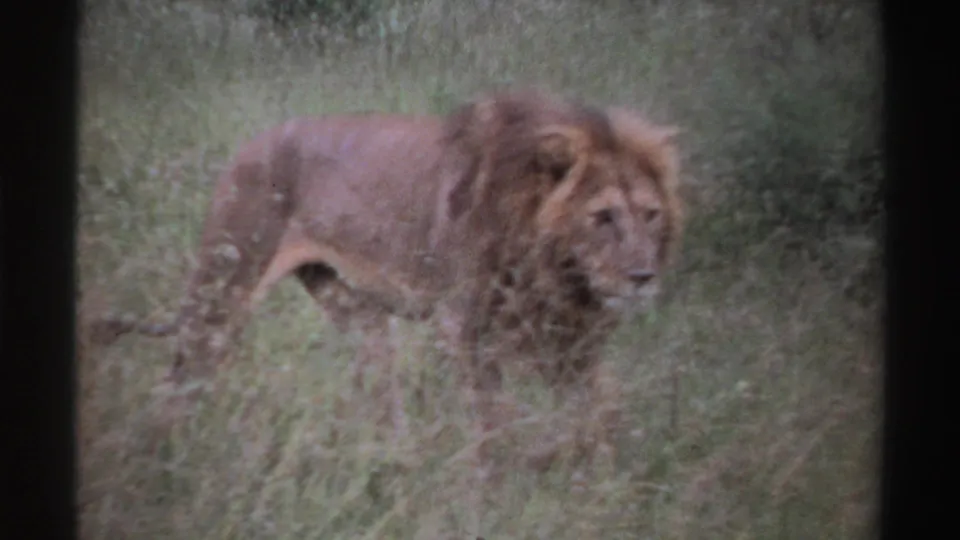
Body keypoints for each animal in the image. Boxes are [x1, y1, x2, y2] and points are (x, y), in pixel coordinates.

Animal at [94, 88, 683, 471]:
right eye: (602, 217)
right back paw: (166, 463)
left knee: (382, 401)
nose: (643, 276)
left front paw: (593, 472)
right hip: (224, 289)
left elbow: (601, 411)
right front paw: (498, 485)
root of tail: (250, 145)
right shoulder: (462, 326)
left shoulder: (569, 339)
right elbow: (492, 419)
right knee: (179, 381)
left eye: (651, 215)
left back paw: (399, 464)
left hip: (359, 314)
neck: (554, 267)